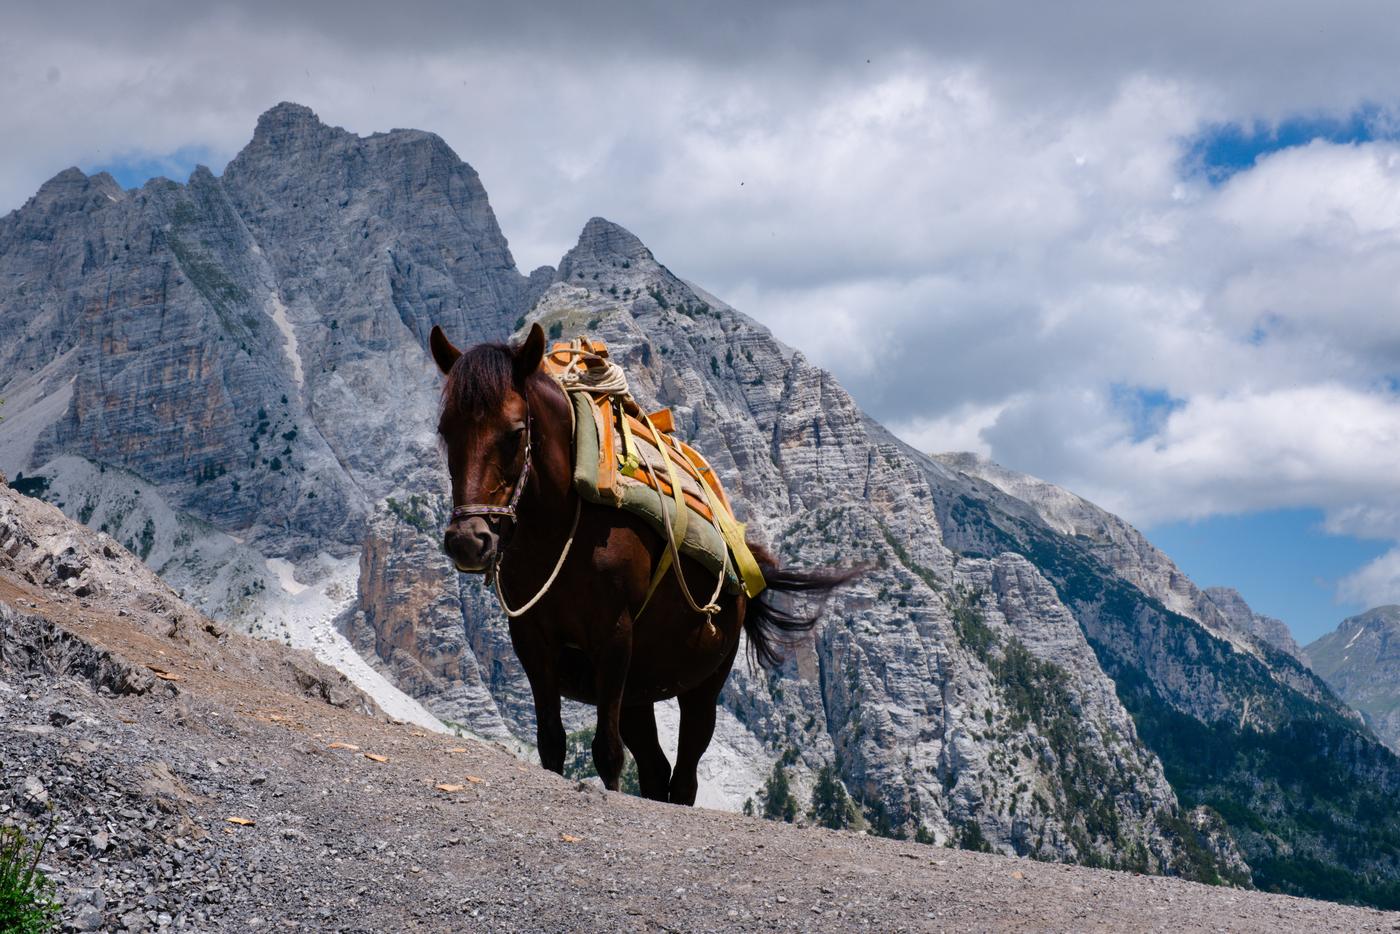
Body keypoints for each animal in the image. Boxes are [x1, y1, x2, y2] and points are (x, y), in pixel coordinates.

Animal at [425, 323, 845, 806]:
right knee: (655, 769)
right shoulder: (533, 643)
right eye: (446, 430)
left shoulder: (613, 636)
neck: (559, 529)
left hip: (702, 685)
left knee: (683, 777)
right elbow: (552, 744)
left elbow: (607, 753)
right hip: (637, 693)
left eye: (514, 432)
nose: (468, 541)